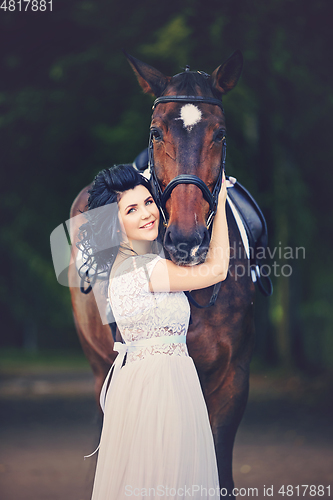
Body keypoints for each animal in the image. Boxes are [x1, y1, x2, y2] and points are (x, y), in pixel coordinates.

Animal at [68, 52, 254, 498]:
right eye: (156, 133)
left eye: (220, 134)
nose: (185, 240)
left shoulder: (233, 378)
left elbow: (220, 472)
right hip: (99, 366)